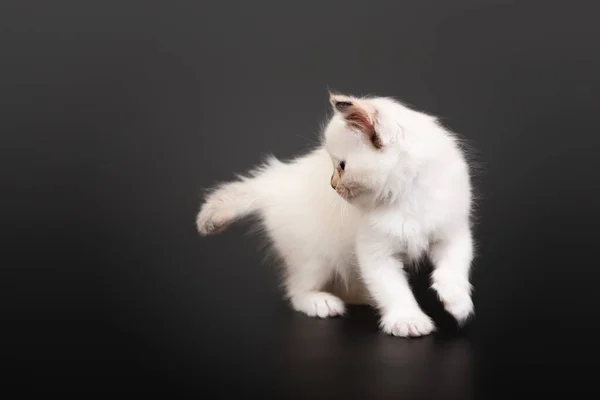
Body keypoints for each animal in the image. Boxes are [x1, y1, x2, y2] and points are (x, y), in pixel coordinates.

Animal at [196, 94, 474, 338]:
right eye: (333, 166)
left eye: (341, 166)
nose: (331, 185)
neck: (406, 197)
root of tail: (275, 180)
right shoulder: (376, 251)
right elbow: (392, 287)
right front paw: (407, 320)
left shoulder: (453, 234)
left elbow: (454, 269)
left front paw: (457, 301)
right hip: (314, 258)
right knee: (296, 289)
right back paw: (321, 303)